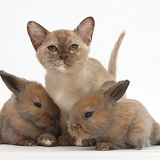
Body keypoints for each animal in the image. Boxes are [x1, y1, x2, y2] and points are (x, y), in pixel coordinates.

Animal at [27, 16, 125, 146]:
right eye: (53, 48)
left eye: (73, 47)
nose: (63, 56)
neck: (64, 80)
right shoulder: (62, 111)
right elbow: (65, 124)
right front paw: (67, 138)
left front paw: (87, 140)